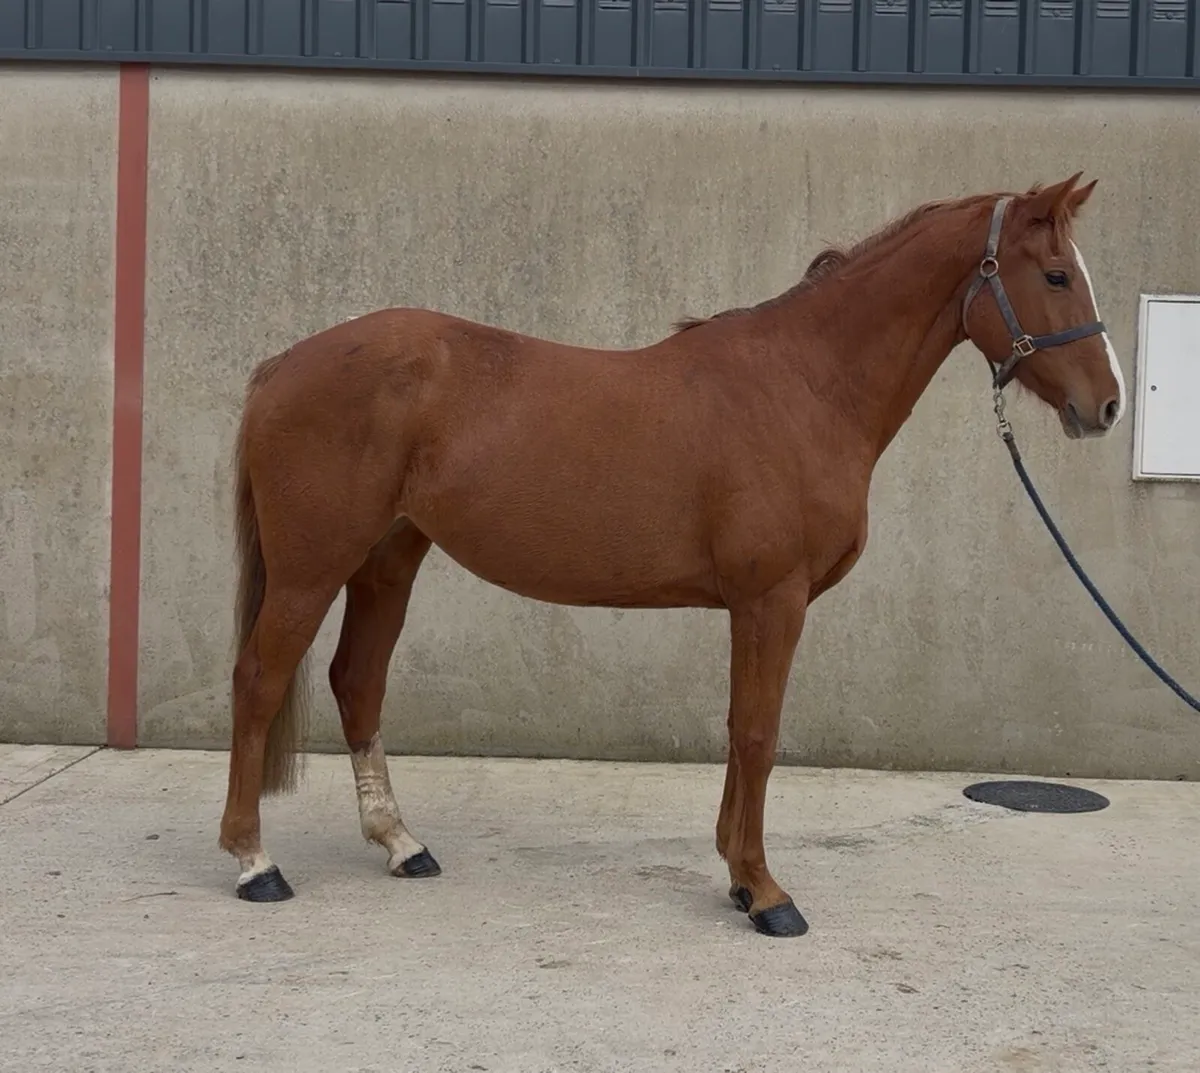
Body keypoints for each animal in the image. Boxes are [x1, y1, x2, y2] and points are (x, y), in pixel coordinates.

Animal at [217, 172, 1124, 938]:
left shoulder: (752, 606)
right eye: (1055, 276)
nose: (1107, 405)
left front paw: (736, 875)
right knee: (259, 680)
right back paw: (255, 862)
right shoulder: (772, 599)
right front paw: (766, 891)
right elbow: (757, 732)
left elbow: (736, 727)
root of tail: (281, 364)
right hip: (309, 567)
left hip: (388, 558)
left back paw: (403, 843)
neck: (805, 386)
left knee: (357, 681)